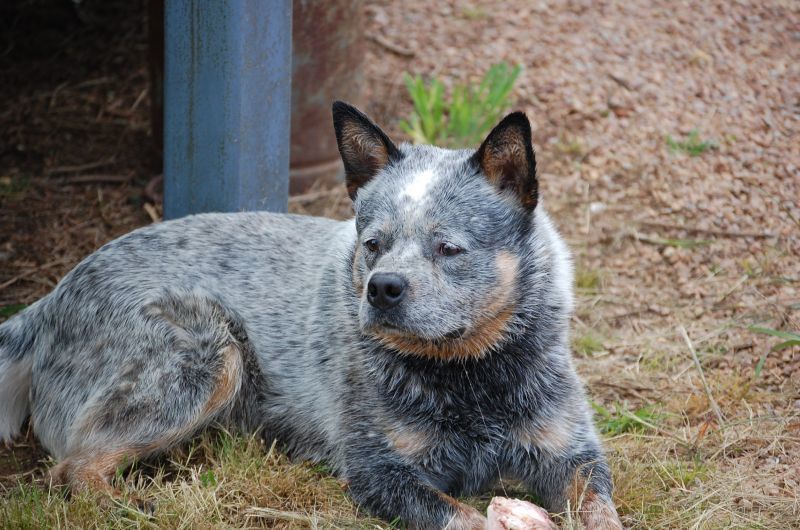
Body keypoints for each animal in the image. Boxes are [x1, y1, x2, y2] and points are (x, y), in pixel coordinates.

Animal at [0, 101, 624, 524]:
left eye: (448, 247)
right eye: (373, 243)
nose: (382, 288)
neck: (470, 375)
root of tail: (51, 299)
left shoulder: (573, 455)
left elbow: (601, 509)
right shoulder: (378, 469)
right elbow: (465, 514)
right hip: (207, 347)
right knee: (71, 466)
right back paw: (128, 506)